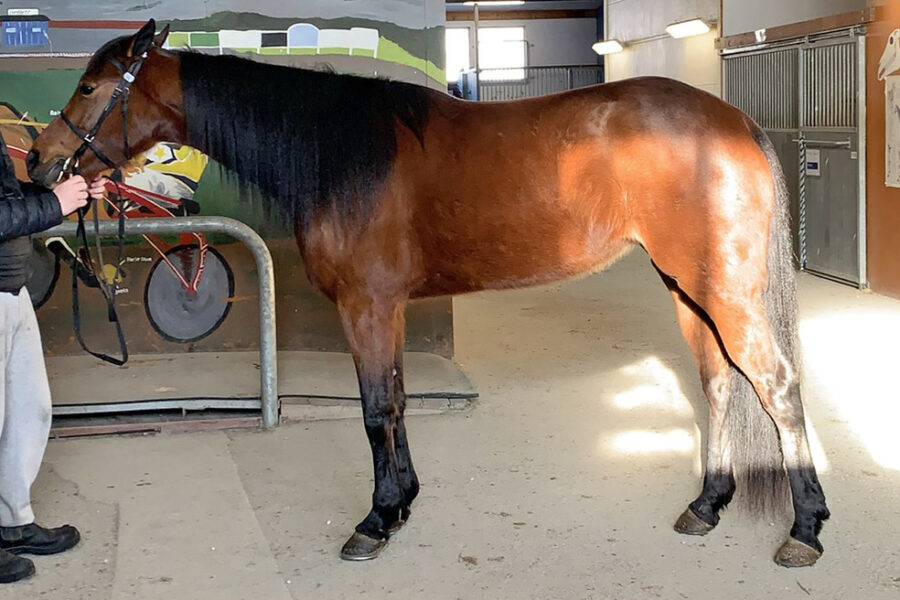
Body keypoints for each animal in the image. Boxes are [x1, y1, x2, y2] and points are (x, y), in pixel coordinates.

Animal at [26, 21, 828, 568]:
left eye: (91, 86)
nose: (39, 159)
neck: (343, 152)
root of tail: (733, 121)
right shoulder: (388, 310)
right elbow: (399, 402)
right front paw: (403, 502)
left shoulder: (366, 306)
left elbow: (376, 410)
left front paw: (376, 520)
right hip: (688, 287)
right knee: (719, 382)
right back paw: (706, 506)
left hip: (723, 290)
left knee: (777, 385)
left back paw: (805, 529)